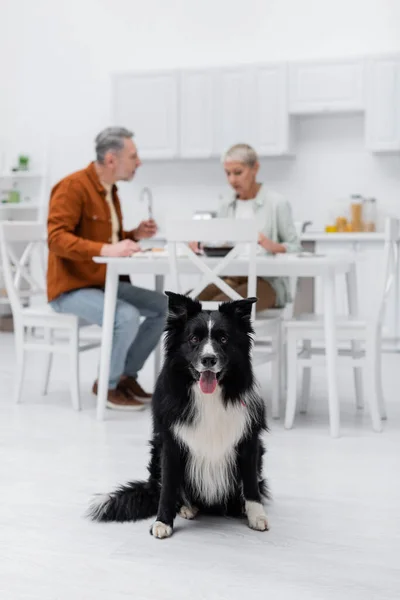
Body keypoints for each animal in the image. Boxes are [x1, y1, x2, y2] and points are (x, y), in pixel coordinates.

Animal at [89, 292, 268, 540]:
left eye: (223, 339)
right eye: (193, 339)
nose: (209, 359)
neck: (209, 398)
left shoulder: (249, 442)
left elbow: (251, 485)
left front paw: (257, 516)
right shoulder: (171, 444)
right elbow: (169, 487)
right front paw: (162, 522)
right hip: (156, 453)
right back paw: (187, 508)